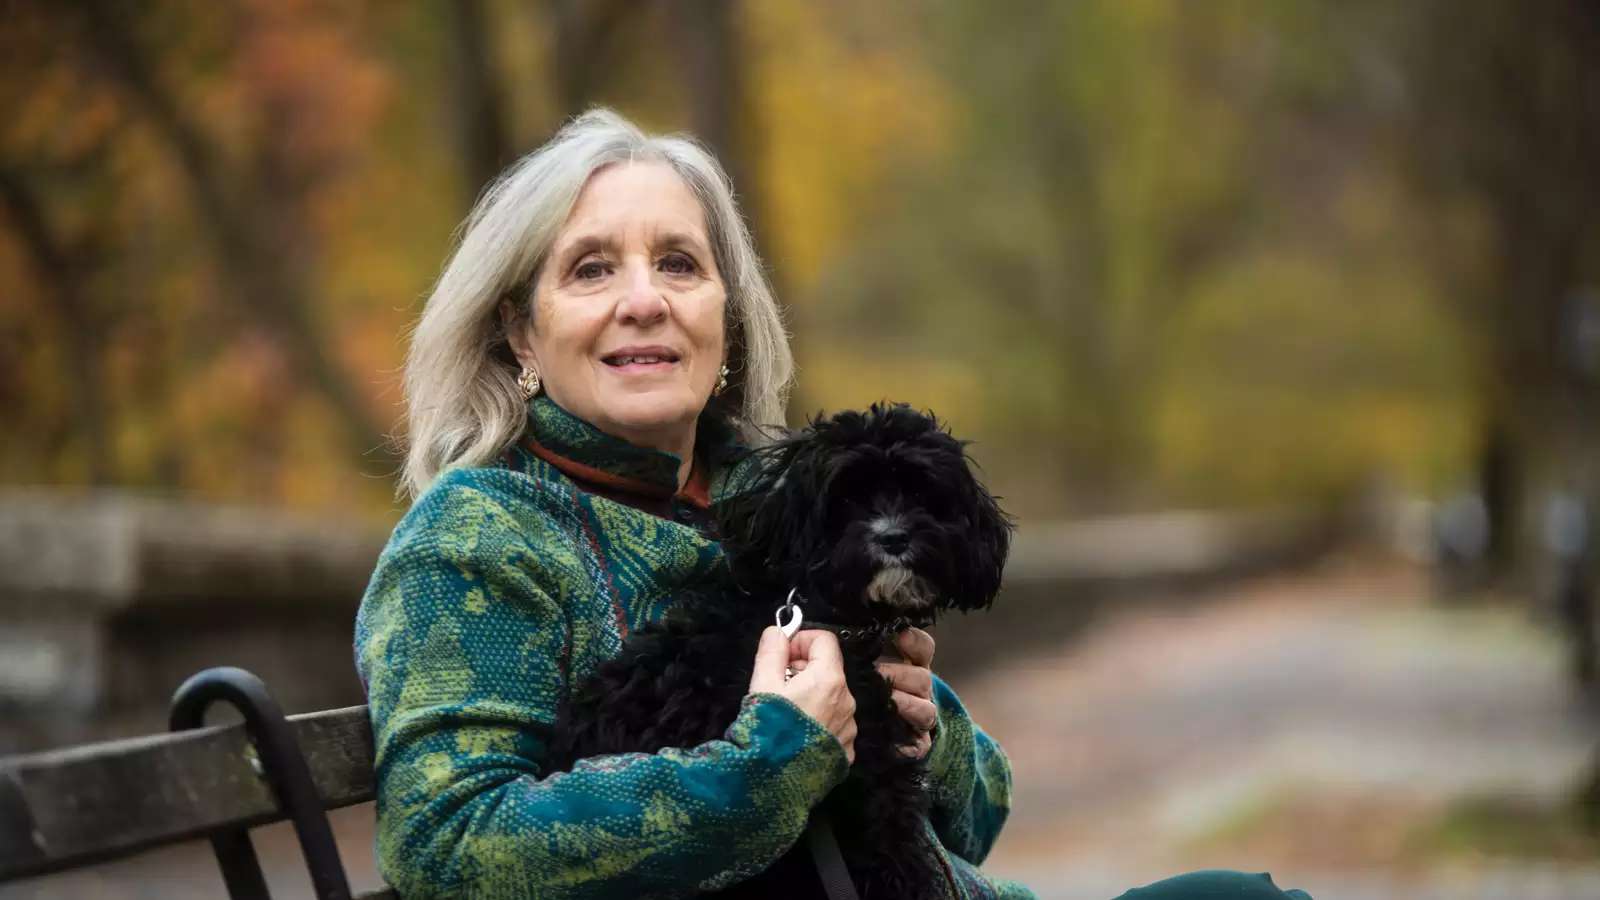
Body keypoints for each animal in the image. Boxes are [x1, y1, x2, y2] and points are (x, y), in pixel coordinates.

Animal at [544, 403, 1004, 890]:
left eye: (919, 491)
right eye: (844, 501)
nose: (893, 537)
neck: (828, 616)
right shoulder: (871, 775)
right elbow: (895, 851)